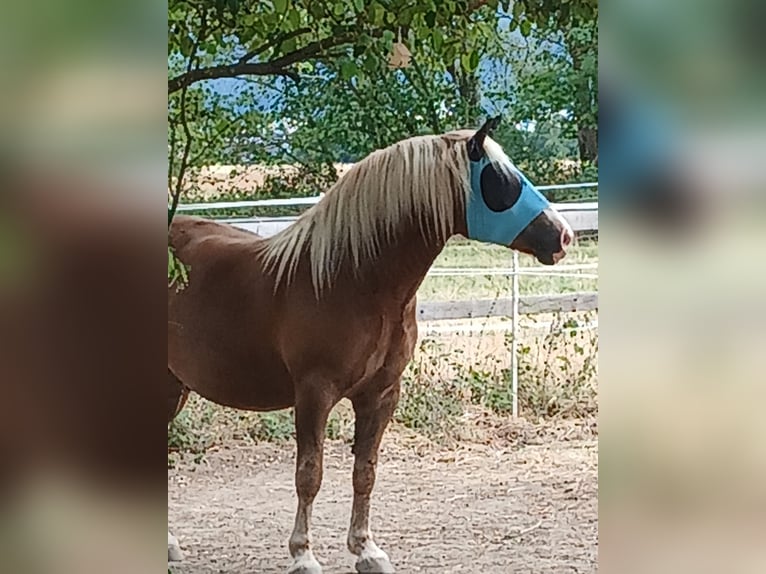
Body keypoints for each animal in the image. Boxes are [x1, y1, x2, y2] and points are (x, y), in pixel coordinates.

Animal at [167, 118, 574, 574]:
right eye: (501, 181)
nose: (564, 236)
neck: (352, 277)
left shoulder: (381, 394)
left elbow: (365, 471)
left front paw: (366, 549)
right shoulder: (314, 394)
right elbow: (309, 475)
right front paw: (303, 554)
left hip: (172, 385)